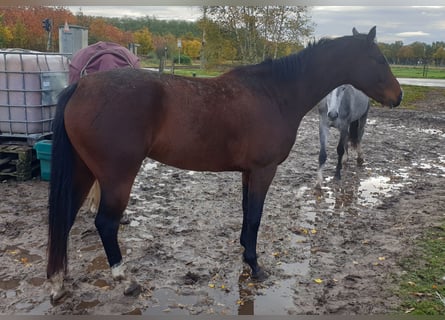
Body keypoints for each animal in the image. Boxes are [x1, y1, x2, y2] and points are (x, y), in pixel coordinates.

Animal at [46, 26, 400, 300]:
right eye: (379, 59)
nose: (398, 96)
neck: (276, 93)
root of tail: (82, 85)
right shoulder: (263, 171)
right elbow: (255, 217)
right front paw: (255, 265)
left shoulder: (248, 173)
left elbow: (246, 214)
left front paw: (245, 253)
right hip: (117, 177)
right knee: (106, 224)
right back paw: (126, 280)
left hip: (83, 172)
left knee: (65, 219)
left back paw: (58, 283)